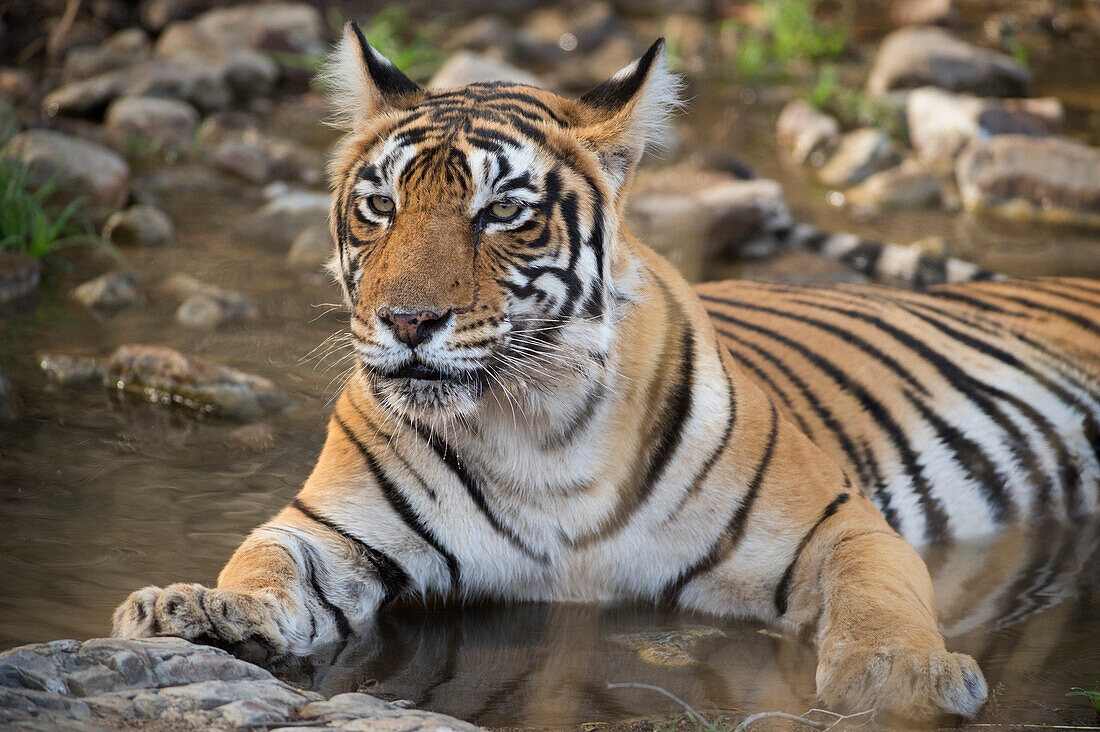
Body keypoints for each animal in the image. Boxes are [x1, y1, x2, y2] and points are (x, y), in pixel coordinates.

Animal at [111, 25, 1100, 722]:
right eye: (380, 206)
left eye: (501, 213)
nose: (406, 321)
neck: (535, 421)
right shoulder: (329, 529)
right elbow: (265, 563)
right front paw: (193, 608)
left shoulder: (838, 521)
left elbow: (879, 597)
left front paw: (901, 677)